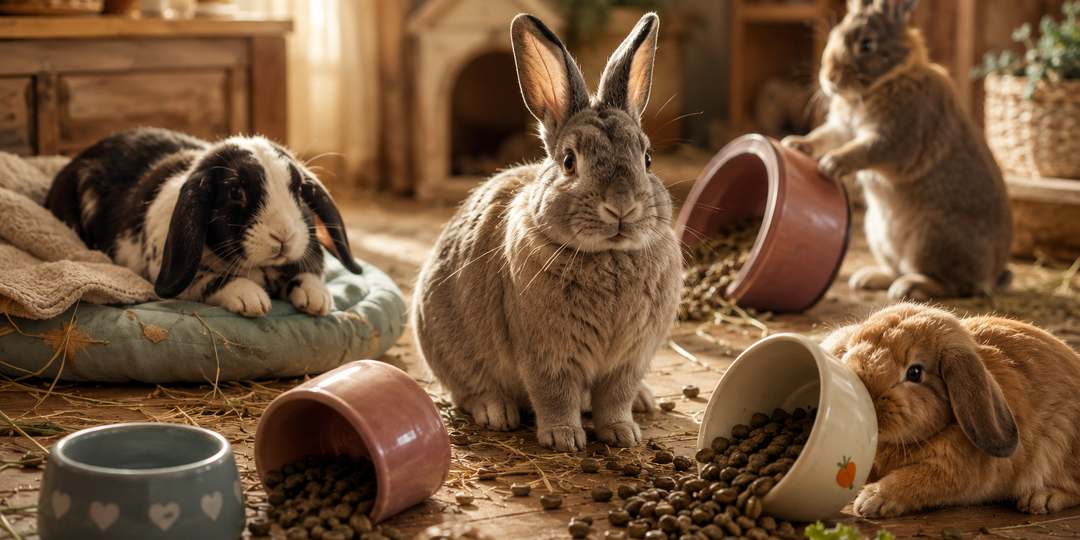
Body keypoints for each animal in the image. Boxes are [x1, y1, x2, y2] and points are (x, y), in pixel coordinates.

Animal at [45, 127, 363, 318]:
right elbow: (211, 280)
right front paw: (252, 300)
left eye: (297, 188)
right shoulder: (181, 279)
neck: (260, 268)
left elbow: (307, 275)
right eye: (235, 191)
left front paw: (317, 299)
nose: (283, 236)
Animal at [412, 13, 681, 452]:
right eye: (569, 162)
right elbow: (555, 395)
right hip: (448, 345)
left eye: (647, 159)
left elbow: (616, 397)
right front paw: (564, 439)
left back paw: (644, 402)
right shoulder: (547, 356)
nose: (621, 207)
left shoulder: (628, 361)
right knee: (468, 390)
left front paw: (623, 434)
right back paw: (497, 412)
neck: (607, 256)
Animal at [781, 0, 1012, 301]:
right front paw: (794, 144)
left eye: (867, 44)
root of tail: (992, 273)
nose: (829, 77)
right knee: (897, 269)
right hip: (878, 236)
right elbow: (823, 136)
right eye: (833, 35)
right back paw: (867, 278)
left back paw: (910, 287)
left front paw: (831, 164)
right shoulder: (843, 128)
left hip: (931, 242)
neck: (890, 79)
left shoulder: (895, 138)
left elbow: (863, 150)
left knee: (956, 286)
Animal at [822, 303, 1080, 518]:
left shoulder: (949, 472)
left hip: (1061, 442)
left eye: (914, 372)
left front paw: (871, 501)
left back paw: (1041, 498)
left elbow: (913, 481)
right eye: (849, 353)